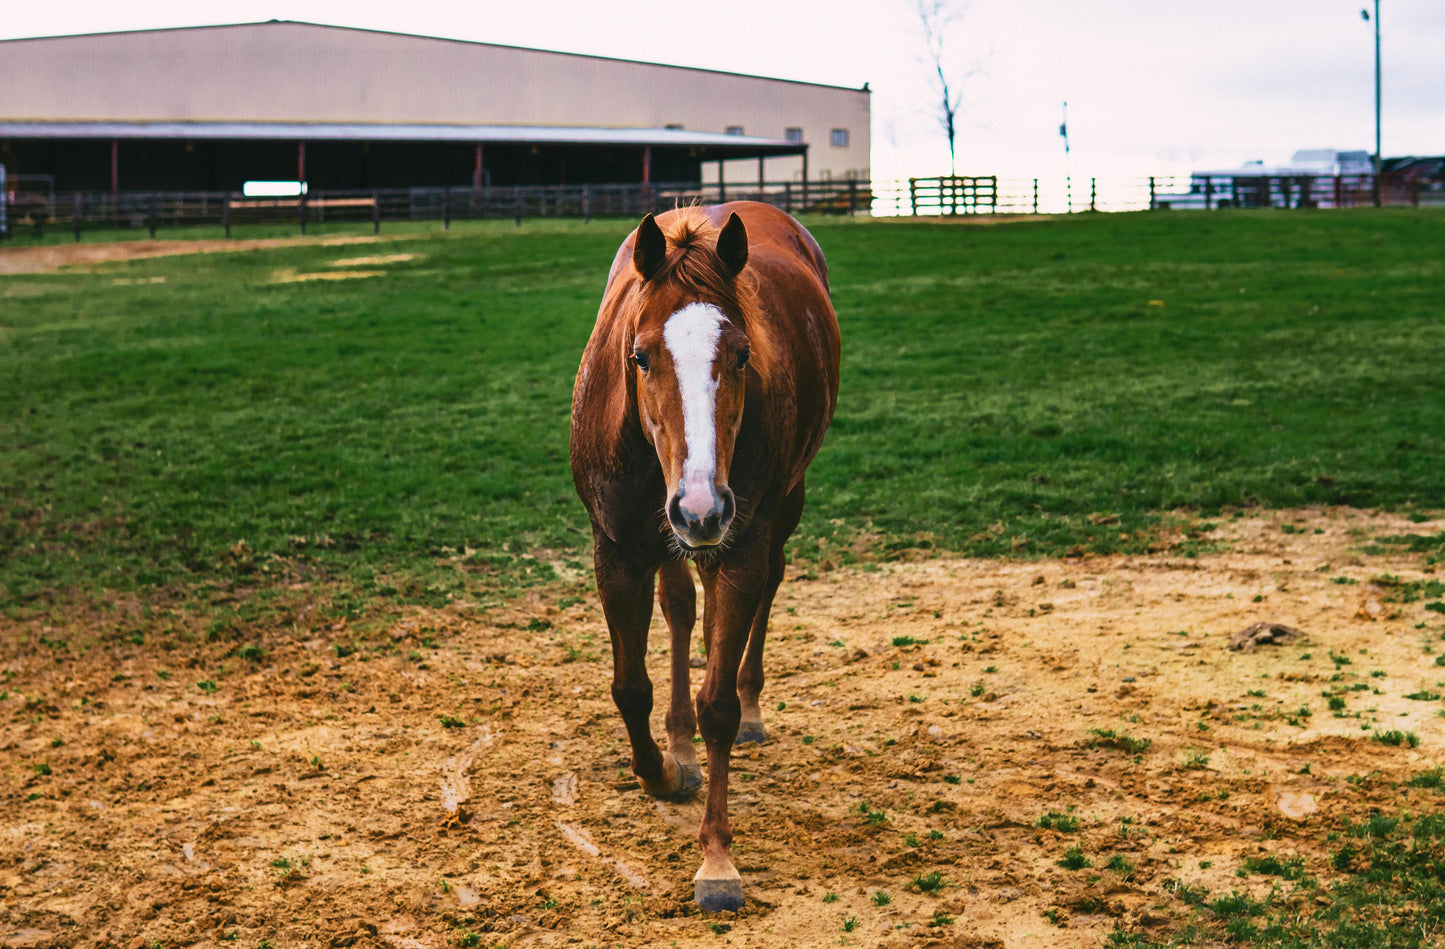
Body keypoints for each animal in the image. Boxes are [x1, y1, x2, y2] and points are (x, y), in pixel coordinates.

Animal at [569, 201, 840, 911]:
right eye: (639, 356)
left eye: (742, 355)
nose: (700, 507)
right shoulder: (617, 550)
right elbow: (629, 687)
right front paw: (664, 771)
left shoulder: (739, 542)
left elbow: (718, 704)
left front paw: (717, 860)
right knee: (684, 607)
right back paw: (680, 742)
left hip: (774, 509)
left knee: (760, 594)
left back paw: (749, 709)